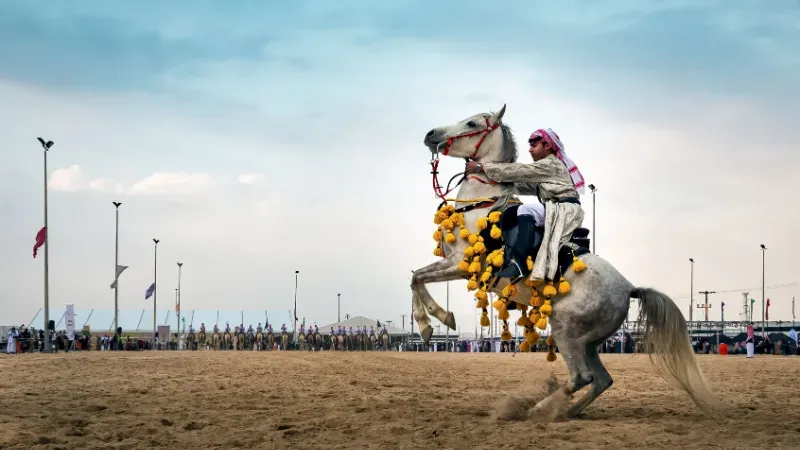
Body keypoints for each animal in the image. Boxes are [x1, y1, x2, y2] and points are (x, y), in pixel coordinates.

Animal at [416, 104, 716, 414]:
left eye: (472, 123)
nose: (431, 134)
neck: (482, 208)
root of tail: (628, 288)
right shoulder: (455, 264)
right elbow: (416, 277)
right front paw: (432, 323)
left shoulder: (459, 264)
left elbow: (417, 277)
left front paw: (435, 321)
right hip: (589, 342)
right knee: (601, 379)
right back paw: (565, 411)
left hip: (566, 330)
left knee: (582, 377)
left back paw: (537, 411)